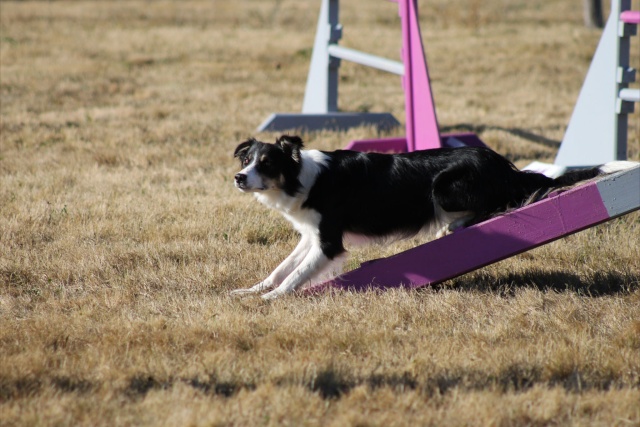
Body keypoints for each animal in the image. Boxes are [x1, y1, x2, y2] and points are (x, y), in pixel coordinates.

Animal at [231, 135, 636, 300]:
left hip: (444, 188)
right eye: (246, 160)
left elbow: (296, 275)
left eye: (266, 164)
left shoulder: (329, 241)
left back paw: (453, 225)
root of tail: (504, 165)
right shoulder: (312, 234)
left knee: (501, 206)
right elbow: (282, 267)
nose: (238, 178)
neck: (300, 176)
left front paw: (273, 299)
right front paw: (252, 290)